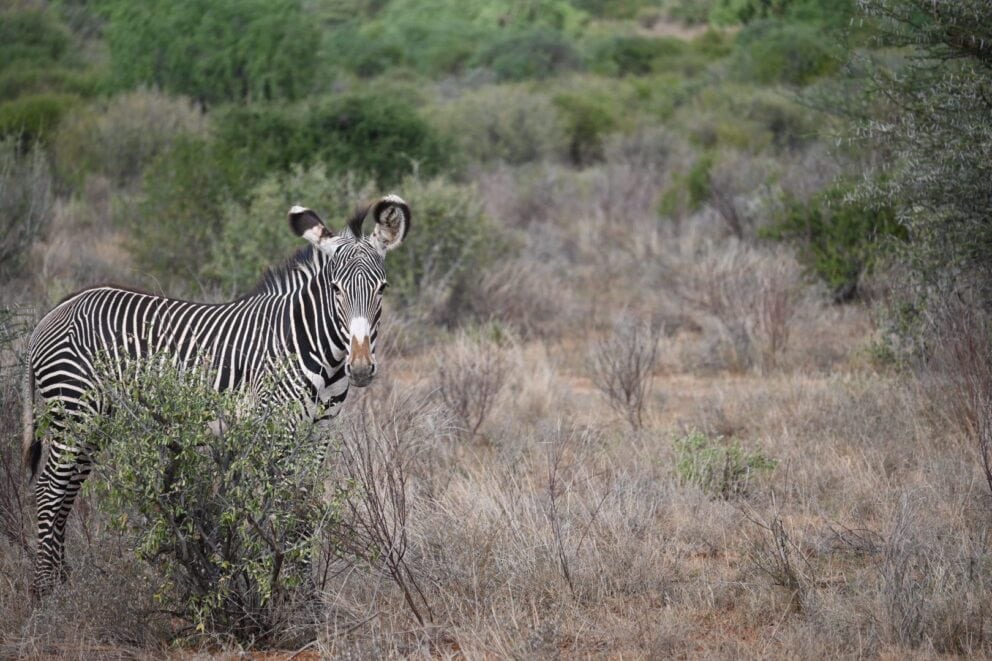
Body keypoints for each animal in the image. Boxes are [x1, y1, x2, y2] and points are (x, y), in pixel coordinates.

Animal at [22, 195, 410, 595]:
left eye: (382, 289)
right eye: (335, 289)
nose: (360, 368)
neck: (314, 349)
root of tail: (55, 311)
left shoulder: (318, 434)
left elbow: (302, 511)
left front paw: (308, 599)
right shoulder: (278, 428)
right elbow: (283, 511)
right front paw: (284, 594)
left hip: (96, 420)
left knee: (66, 491)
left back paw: (63, 584)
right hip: (74, 411)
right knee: (50, 490)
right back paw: (46, 594)